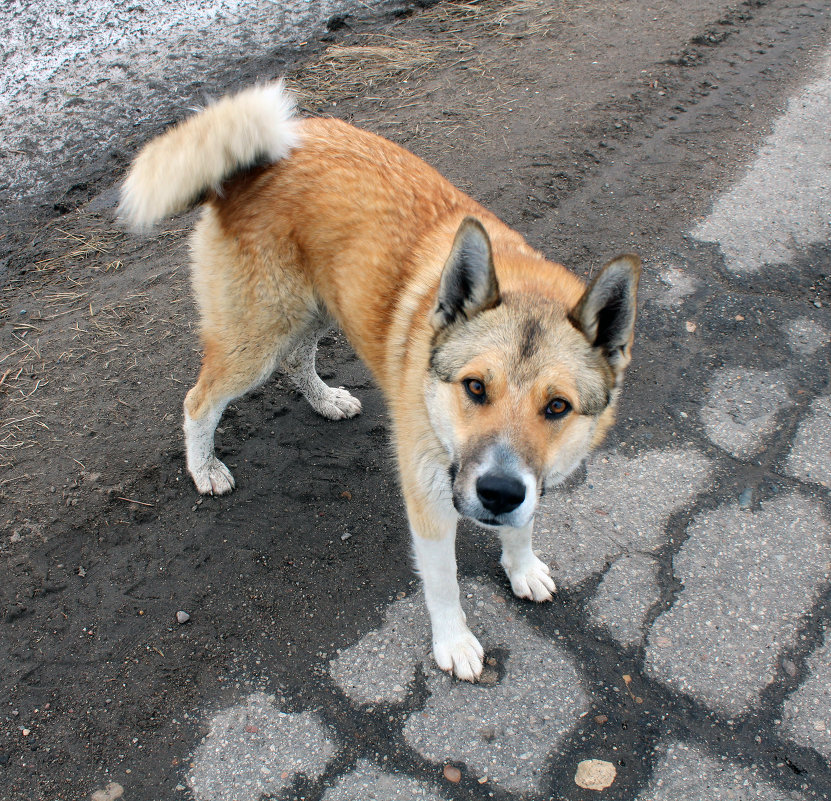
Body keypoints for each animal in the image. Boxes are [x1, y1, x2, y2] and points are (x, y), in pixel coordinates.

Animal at [117, 83, 640, 680]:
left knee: (297, 361)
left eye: (557, 407)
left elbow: (522, 525)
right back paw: (203, 467)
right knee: (198, 400)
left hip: (319, 308)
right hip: (256, 338)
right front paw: (454, 642)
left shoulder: (527, 481)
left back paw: (325, 400)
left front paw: (522, 566)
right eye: (475, 388)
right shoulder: (429, 499)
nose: (497, 492)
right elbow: (444, 585)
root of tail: (261, 158)